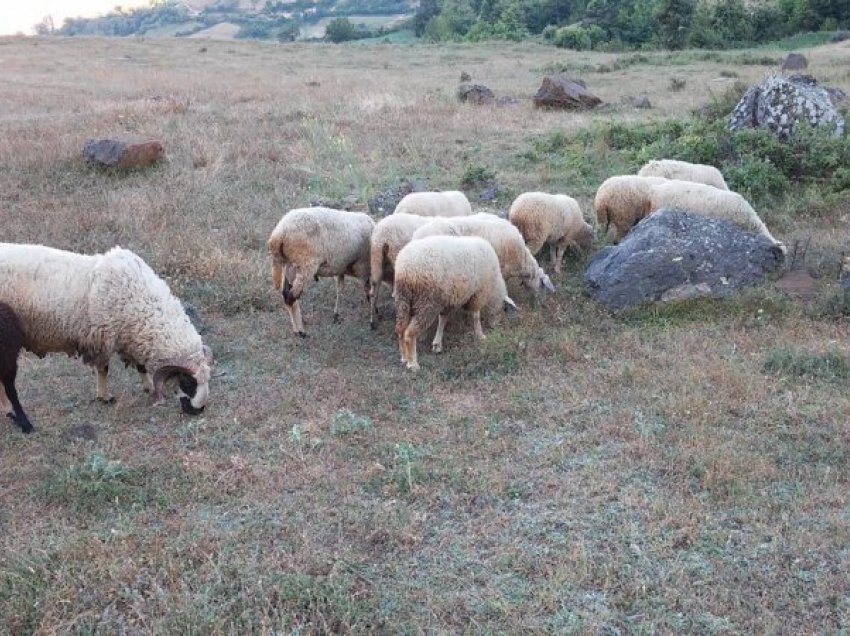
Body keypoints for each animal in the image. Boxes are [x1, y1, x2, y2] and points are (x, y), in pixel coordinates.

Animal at [264, 209, 372, 338]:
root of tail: (279, 233)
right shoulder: (363, 268)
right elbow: (368, 292)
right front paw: (373, 317)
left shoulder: (340, 268)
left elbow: (340, 289)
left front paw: (336, 315)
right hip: (305, 265)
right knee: (291, 297)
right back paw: (301, 331)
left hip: (290, 266)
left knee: (286, 294)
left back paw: (296, 329)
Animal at [392, 236, 516, 370]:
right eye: (504, 308)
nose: (495, 326)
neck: (493, 288)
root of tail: (406, 269)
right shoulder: (478, 293)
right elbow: (476, 316)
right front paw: (480, 335)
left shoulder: (448, 301)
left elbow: (442, 320)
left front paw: (437, 345)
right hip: (427, 302)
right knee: (409, 334)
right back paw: (413, 364)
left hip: (403, 300)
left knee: (400, 329)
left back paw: (404, 357)